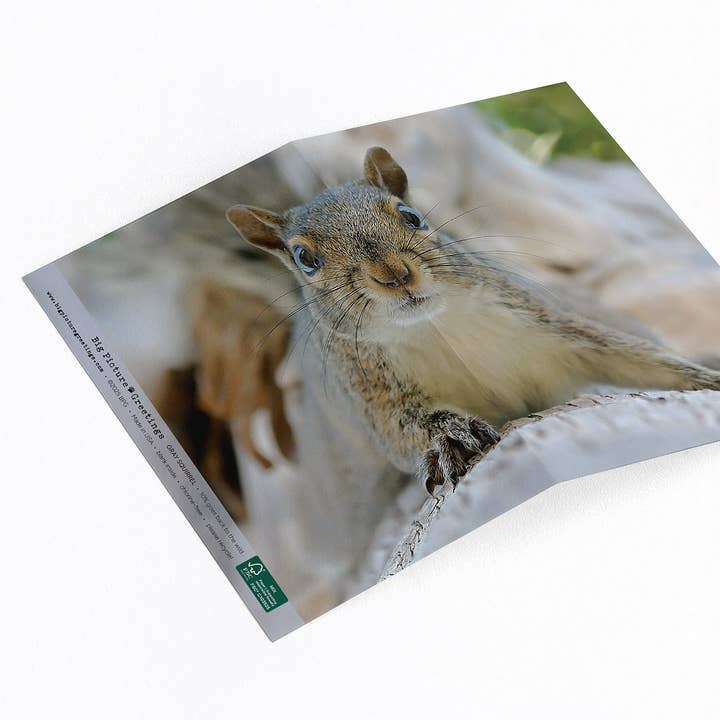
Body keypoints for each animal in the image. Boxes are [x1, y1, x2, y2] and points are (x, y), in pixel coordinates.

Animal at [225, 147, 720, 573]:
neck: (433, 326)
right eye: (304, 258)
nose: (394, 275)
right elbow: (402, 432)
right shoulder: (368, 395)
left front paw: (706, 379)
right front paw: (449, 435)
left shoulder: (553, 325)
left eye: (410, 216)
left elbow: (635, 357)